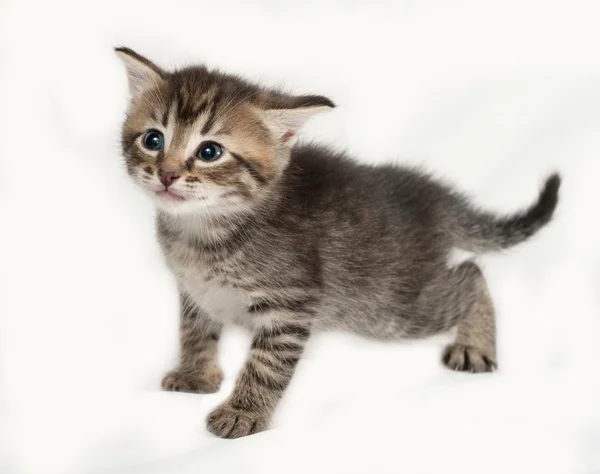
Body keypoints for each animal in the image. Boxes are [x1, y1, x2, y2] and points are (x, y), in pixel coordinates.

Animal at [115, 46, 560, 438]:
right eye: (153, 140)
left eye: (210, 151)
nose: (167, 174)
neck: (203, 231)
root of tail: (433, 197)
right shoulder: (194, 291)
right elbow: (193, 331)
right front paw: (197, 374)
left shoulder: (293, 303)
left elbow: (266, 364)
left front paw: (243, 413)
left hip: (391, 308)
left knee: (471, 274)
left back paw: (475, 345)